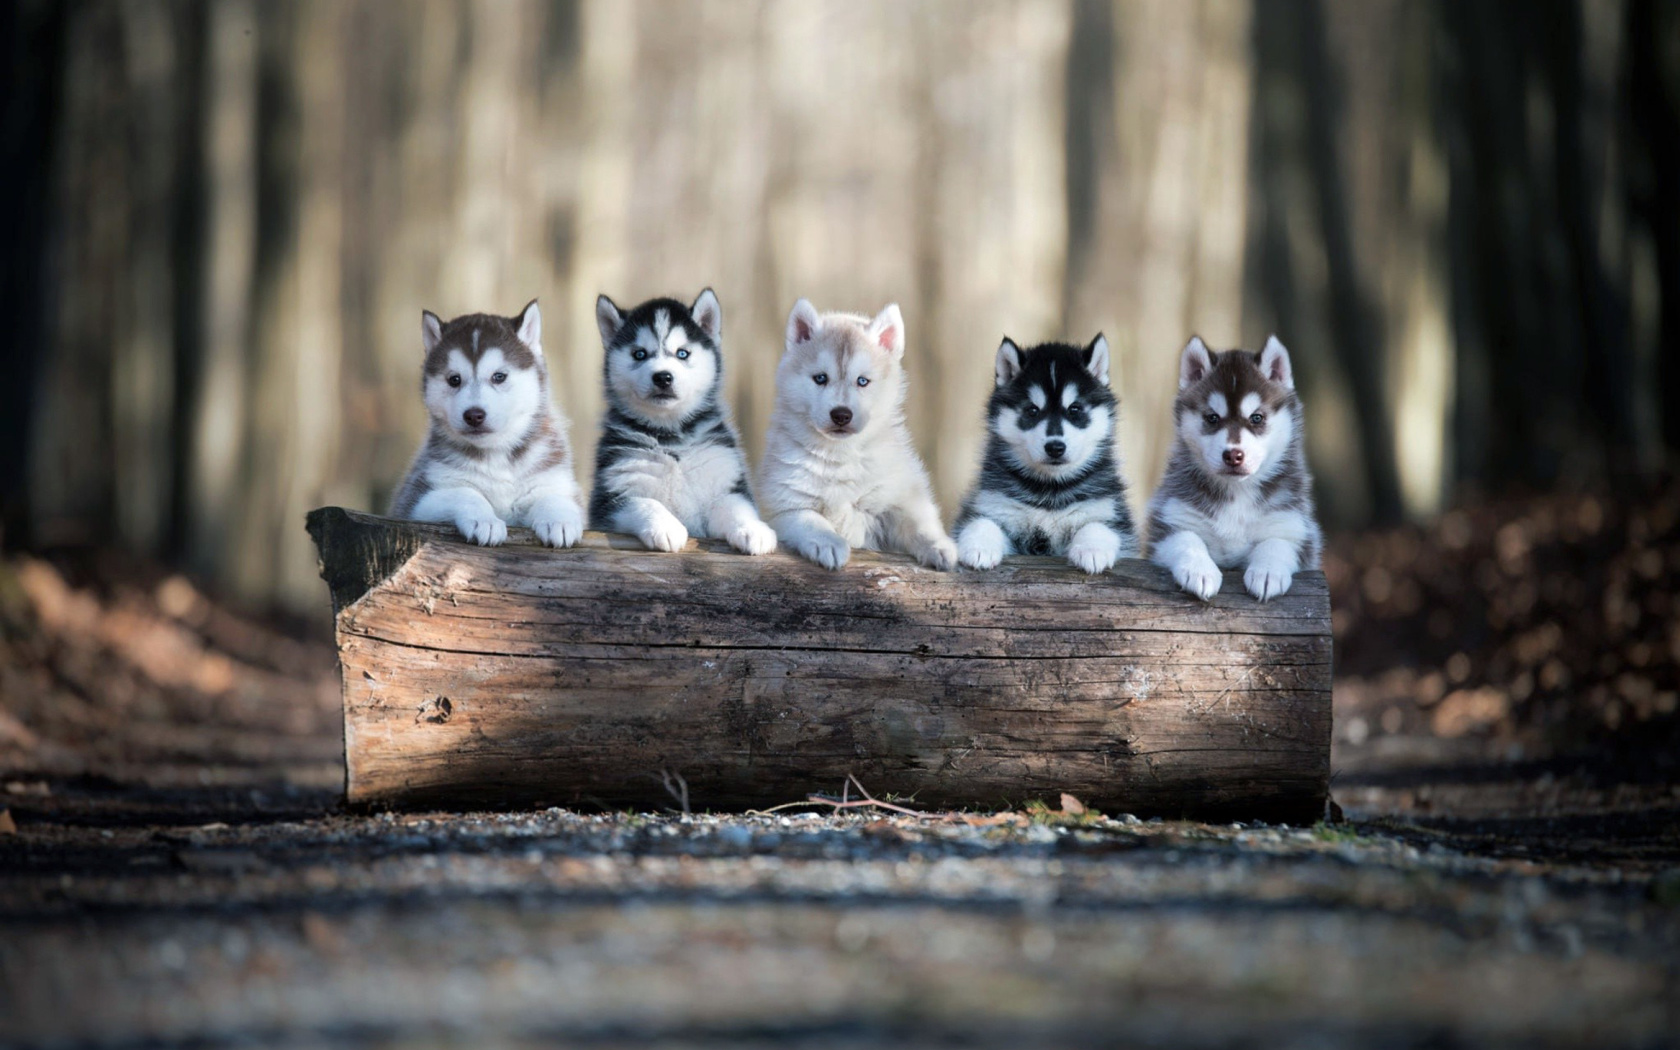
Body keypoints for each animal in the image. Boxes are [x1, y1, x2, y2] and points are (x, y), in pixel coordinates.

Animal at [588, 283, 776, 547]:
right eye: (639, 354)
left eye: (682, 353)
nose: (662, 377)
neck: (671, 438)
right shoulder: (611, 496)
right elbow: (644, 502)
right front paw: (665, 526)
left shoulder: (725, 480)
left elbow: (734, 506)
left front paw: (752, 529)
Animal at [762, 299, 960, 567]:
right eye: (820, 378)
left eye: (863, 381)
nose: (841, 415)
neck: (839, 455)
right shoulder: (784, 506)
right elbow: (811, 520)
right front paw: (828, 542)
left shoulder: (899, 495)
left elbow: (917, 523)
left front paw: (939, 546)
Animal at [960, 336, 1142, 574]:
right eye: (1032, 410)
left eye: (1074, 409)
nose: (1055, 447)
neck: (1050, 489)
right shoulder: (996, 505)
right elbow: (982, 521)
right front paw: (978, 546)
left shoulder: (1109, 511)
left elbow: (1097, 525)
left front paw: (1092, 550)